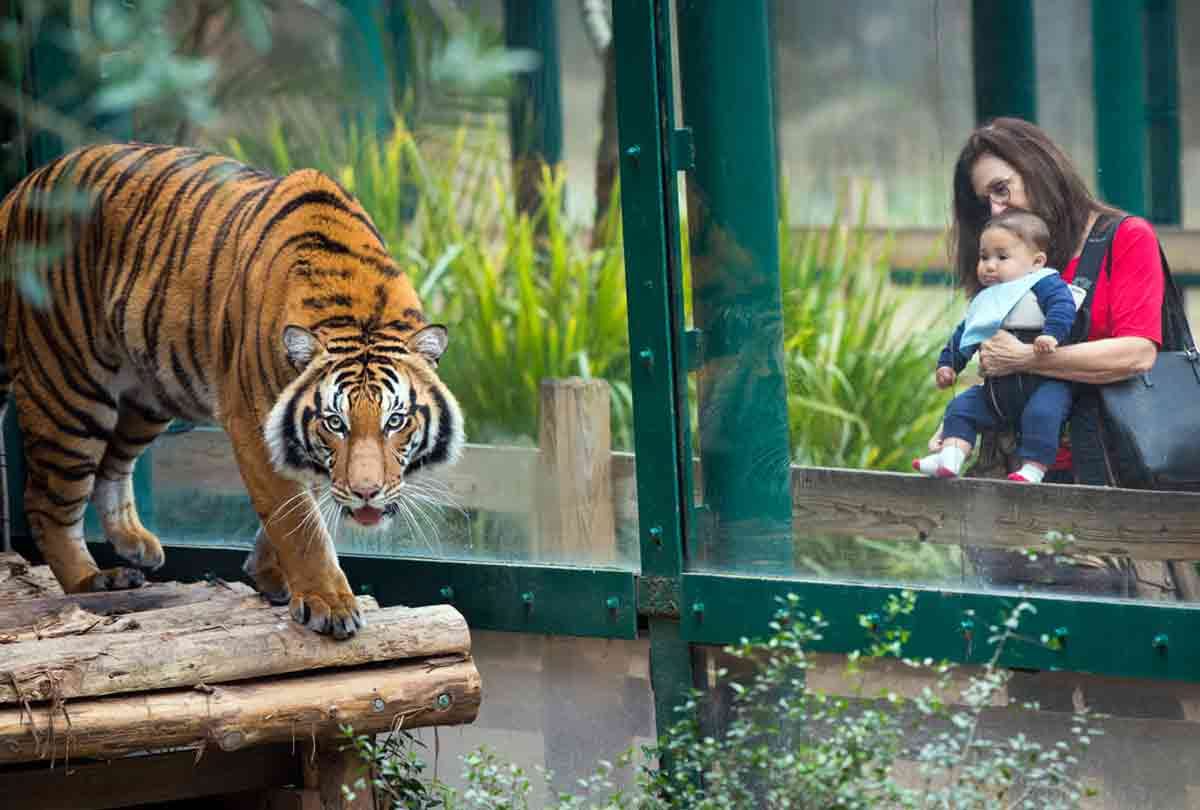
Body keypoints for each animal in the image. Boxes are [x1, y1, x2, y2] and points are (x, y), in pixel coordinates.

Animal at [0, 142, 465, 639]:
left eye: (396, 421)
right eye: (334, 423)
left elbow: (297, 506)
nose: (366, 493)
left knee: (112, 464)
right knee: (45, 502)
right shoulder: (254, 425)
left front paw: (270, 575)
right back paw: (90, 582)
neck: (356, 311)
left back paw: (132, 544)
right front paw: (328, 601)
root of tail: (18, 192)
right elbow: (298, 522)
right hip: (69, 390)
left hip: (149, 392)